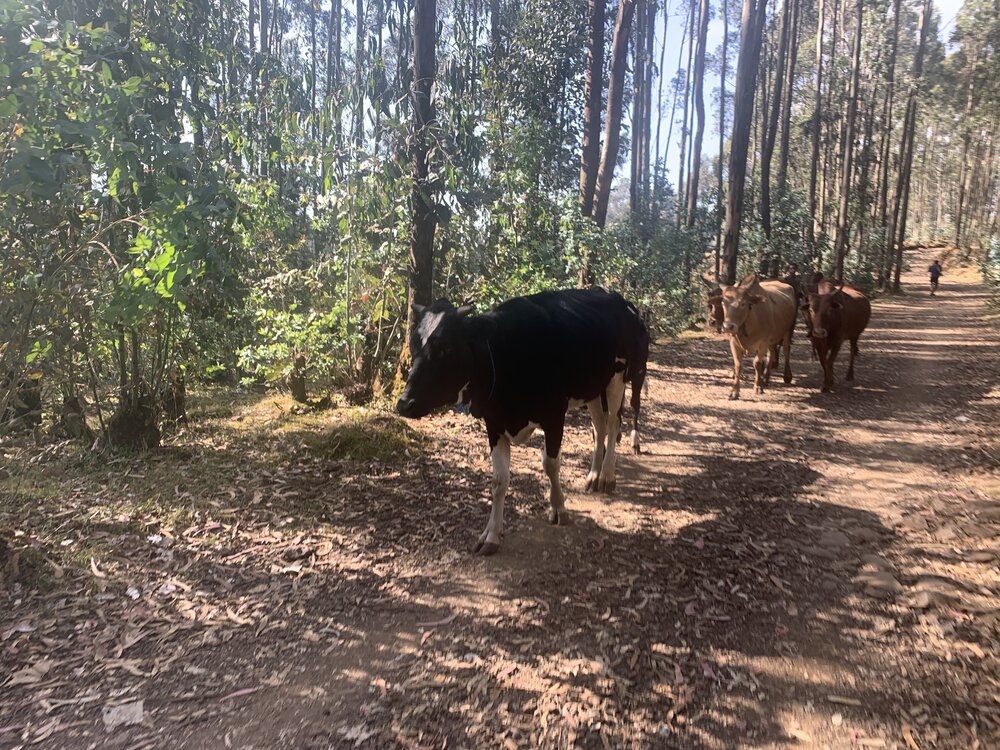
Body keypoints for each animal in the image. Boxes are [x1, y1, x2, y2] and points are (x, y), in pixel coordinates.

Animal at [396, 290, 648, 556]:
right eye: (413, 346)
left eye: (446, 348)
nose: (404, 403)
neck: (503, 356)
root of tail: (617, 298)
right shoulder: (494, 423)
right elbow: (499, 481)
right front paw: (491, 535)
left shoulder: (554, 415)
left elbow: (550, 464)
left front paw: (559, 508)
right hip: (592, 387)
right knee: (599, 426)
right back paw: (593, 476)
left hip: (619, 377)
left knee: (613, 423)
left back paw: (608, 476)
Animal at [720, 274, 796, 402]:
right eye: (723, 303)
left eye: (743, 303)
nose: (728, 327)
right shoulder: (734, 343)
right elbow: (738, 365)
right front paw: (734, 392)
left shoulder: (763, 342)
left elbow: (757, 363)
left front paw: (757, 386)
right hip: (772, 339)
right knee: (771, 354)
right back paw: (765, 378)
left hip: (788, 331)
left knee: (786, 351)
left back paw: (786, 376)